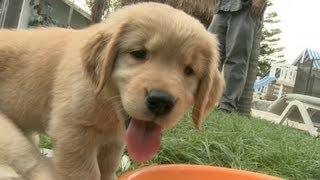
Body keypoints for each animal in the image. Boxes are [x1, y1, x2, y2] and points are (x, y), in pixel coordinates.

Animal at [0, 1, 224, 180]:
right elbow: (85, 173)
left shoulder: (113, 143)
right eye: (139, 53)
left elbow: (107, 169)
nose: (161, 101)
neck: (107, 104)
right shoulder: (73, 132)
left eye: (189, 70)